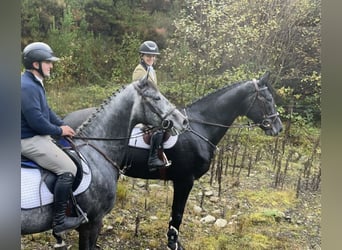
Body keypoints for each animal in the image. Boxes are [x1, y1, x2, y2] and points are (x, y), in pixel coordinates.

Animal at [62, 71, 282, 249]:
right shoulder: (185, 180)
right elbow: (177, 213)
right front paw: (173, 242)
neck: (200, 127)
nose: (278, 127)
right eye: (267, 98)